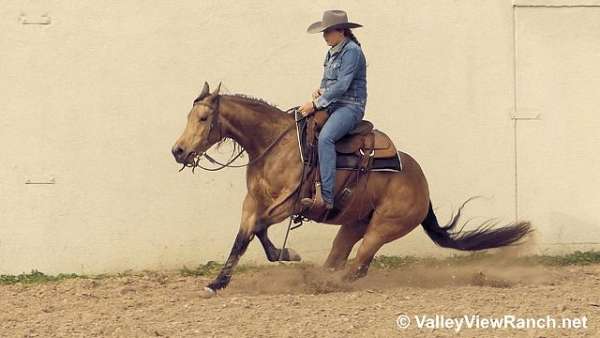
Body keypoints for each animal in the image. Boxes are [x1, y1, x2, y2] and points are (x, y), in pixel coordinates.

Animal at [171, 82, 532, 298]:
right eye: (189, 115)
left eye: (203, 118)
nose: (178, 150)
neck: (275, 145)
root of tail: (423, 187)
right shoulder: (253, 202)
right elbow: (244, 237)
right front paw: (217, 282)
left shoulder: (289, 204)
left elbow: (257, 230)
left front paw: (288, 254)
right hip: (353, 225)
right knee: (339, 257)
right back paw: (319, 278)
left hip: (382, 229)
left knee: (358, 266)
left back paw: (327, 283)